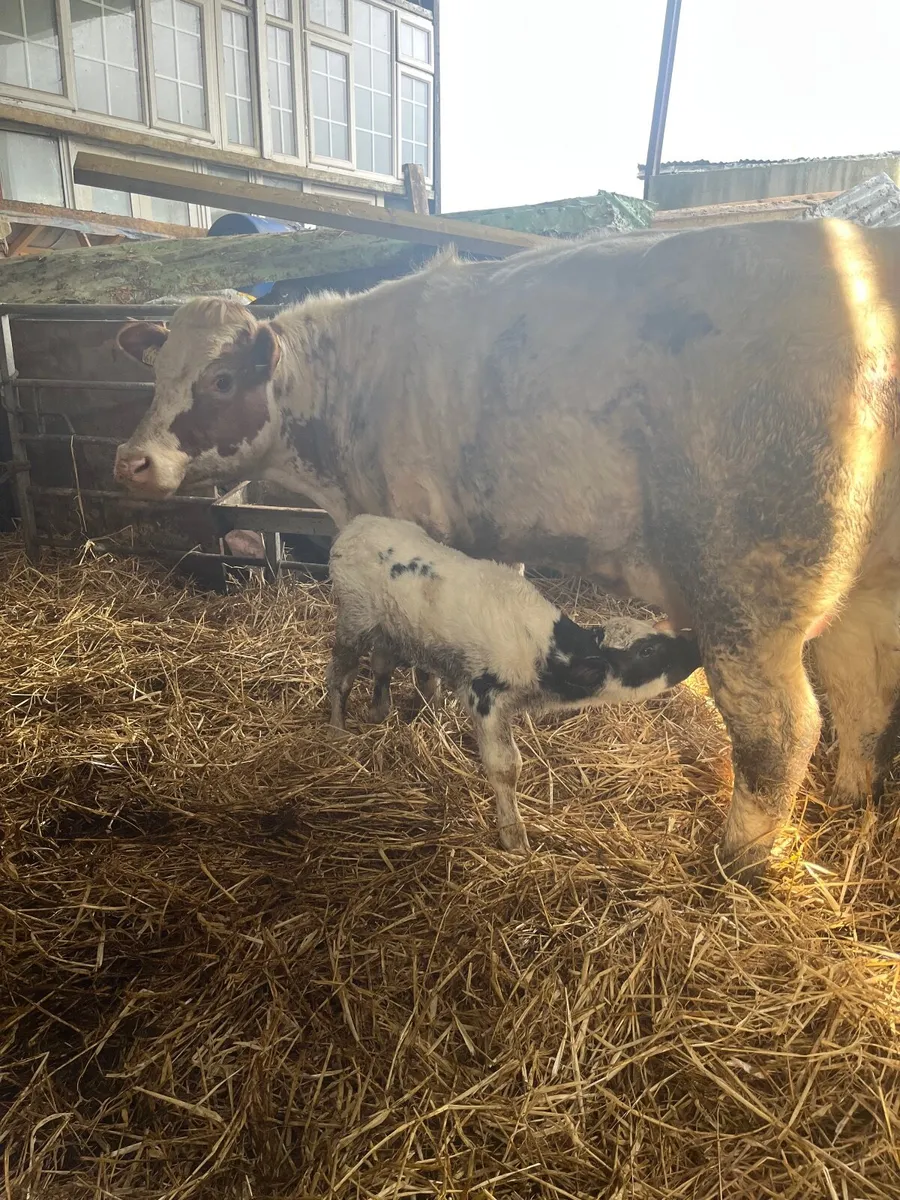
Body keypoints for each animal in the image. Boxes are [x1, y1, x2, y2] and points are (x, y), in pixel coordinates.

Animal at [113, 217, 900, 884]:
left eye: (219, 381)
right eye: (156, 376)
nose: (130, 462)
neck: (349, 391)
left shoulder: (414, 518)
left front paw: (412, 713)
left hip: (748, 598)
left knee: (779, 730)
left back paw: (738, 859)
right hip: (865, 591)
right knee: (864, 693)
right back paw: (851, 800)